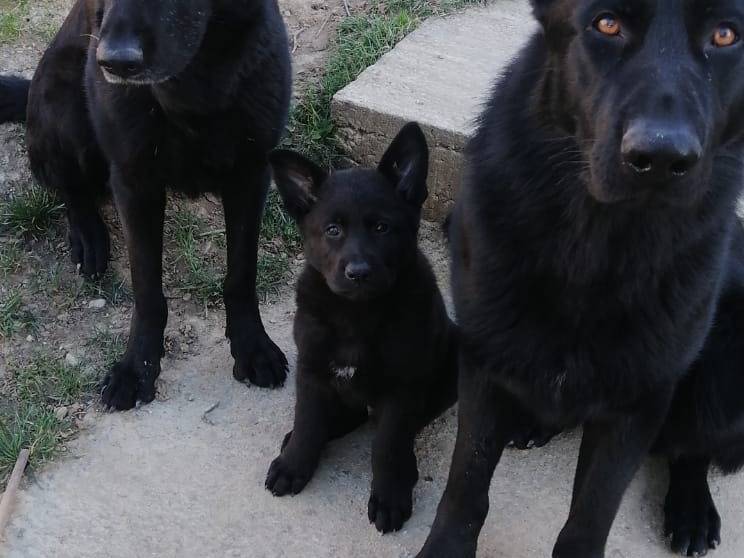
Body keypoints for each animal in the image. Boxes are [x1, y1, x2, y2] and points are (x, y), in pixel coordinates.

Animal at [0, 0, 292, 409]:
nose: (114, 62)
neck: (193, 80)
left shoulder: (251, 173)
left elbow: (241, 274)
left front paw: (252, 346)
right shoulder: (133, 182)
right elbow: (147, 288)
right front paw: (137, 367)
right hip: (63, 104)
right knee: (69, 188)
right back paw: (88, 236)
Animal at [265, 122, 459, 534]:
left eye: (382, 228)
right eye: (332, 230)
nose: (358, 273)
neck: (356, 313)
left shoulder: (401, 388)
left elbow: (386, 445)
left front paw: (389, 495)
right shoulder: (311, 368)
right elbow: (307, 420)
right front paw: (294, 464)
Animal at [417, 1, 744, 557]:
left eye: (726, 35)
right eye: (607, 24)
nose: (660, 160)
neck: (596, 252)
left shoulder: (638, 403)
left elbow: (591, 512)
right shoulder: (483, 360)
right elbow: (466, 485)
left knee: (690, 447)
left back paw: (691, 507)